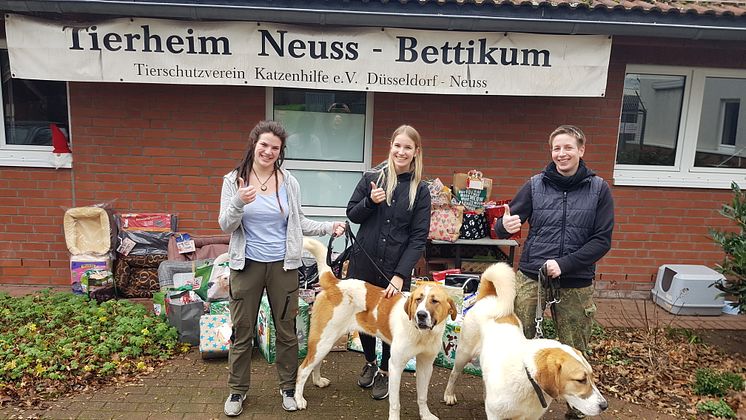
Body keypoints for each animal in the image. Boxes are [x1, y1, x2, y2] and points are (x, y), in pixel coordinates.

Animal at [442, 262, 604, 420]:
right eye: (581, 380)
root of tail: (490, 297)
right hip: (463, 354)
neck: (528, 378)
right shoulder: (496, 416)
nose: (605, 406)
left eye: (591, 377)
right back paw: (449, 395)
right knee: (454, 374)